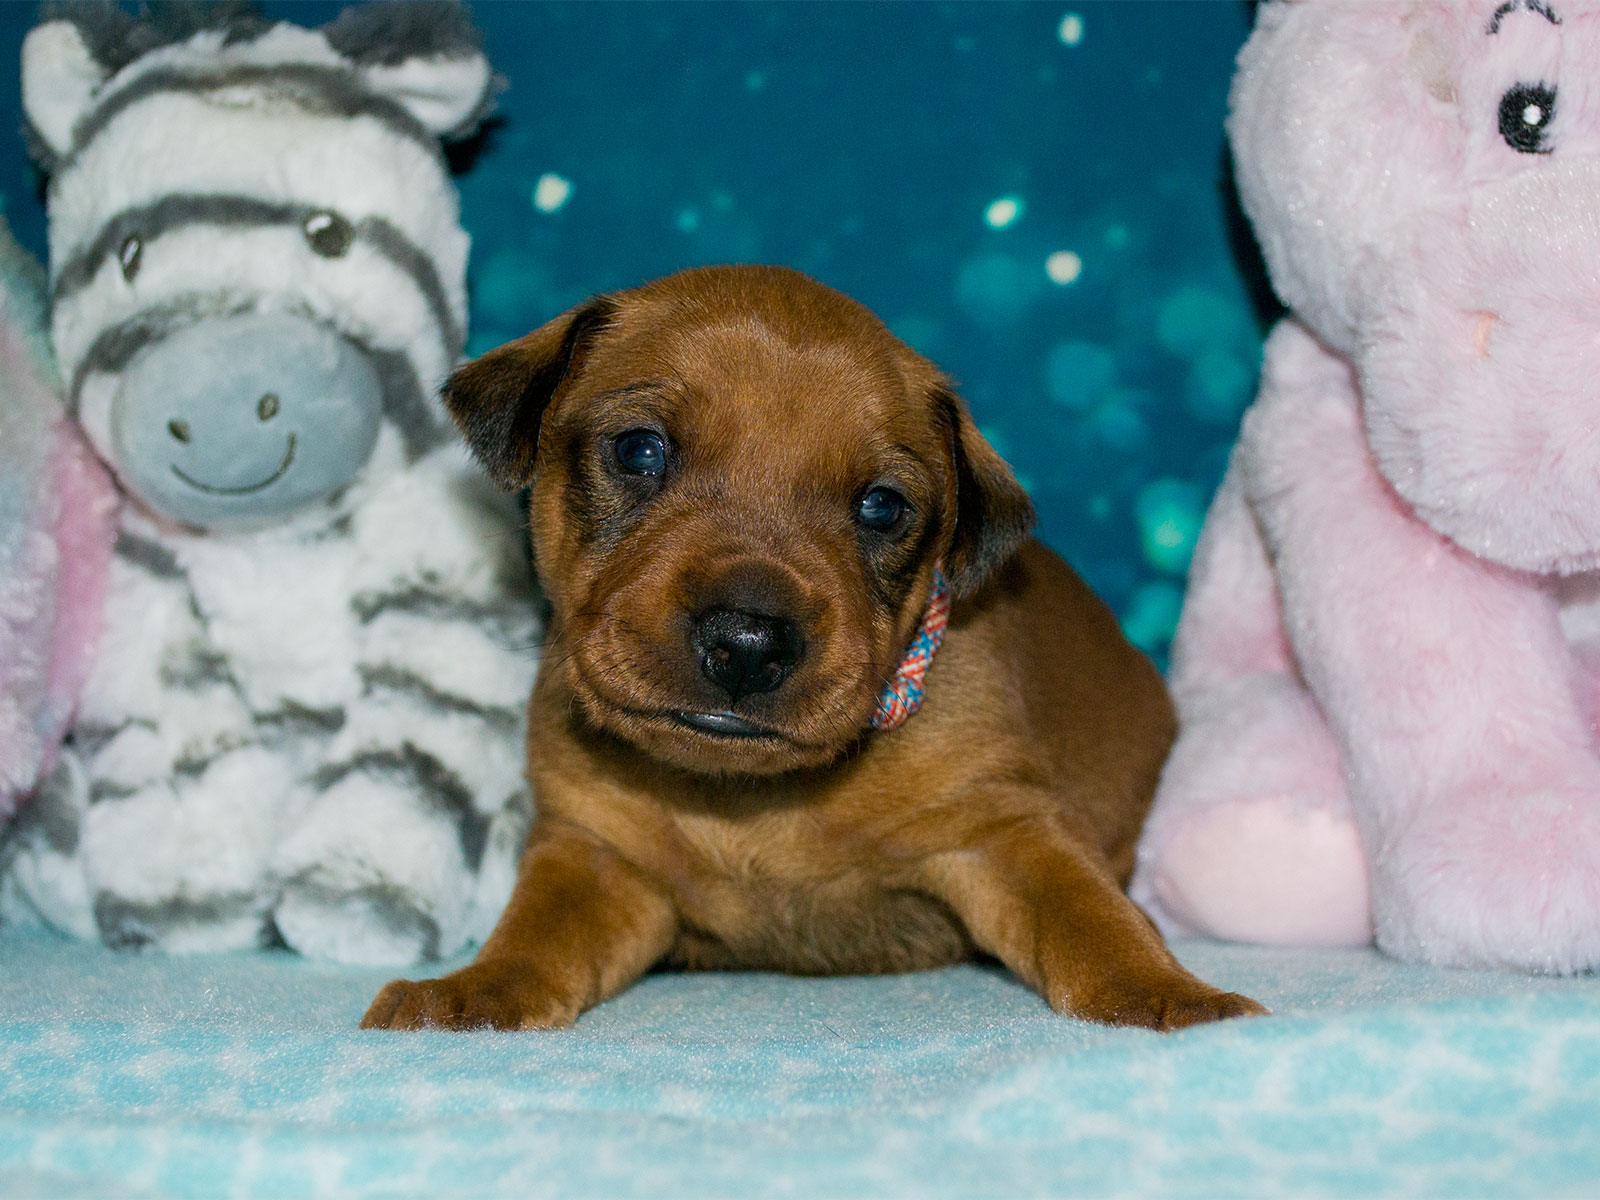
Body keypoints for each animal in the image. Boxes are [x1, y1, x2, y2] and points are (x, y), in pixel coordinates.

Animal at [360, 265, 1265, 1032]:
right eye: (639, 450)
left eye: (881, 507)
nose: (747, 643)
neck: (752, 800)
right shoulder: (592, 853)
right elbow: (532, 935)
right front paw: (474, 992)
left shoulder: (1006, 831)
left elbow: (1095, 918)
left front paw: (1172, 998)